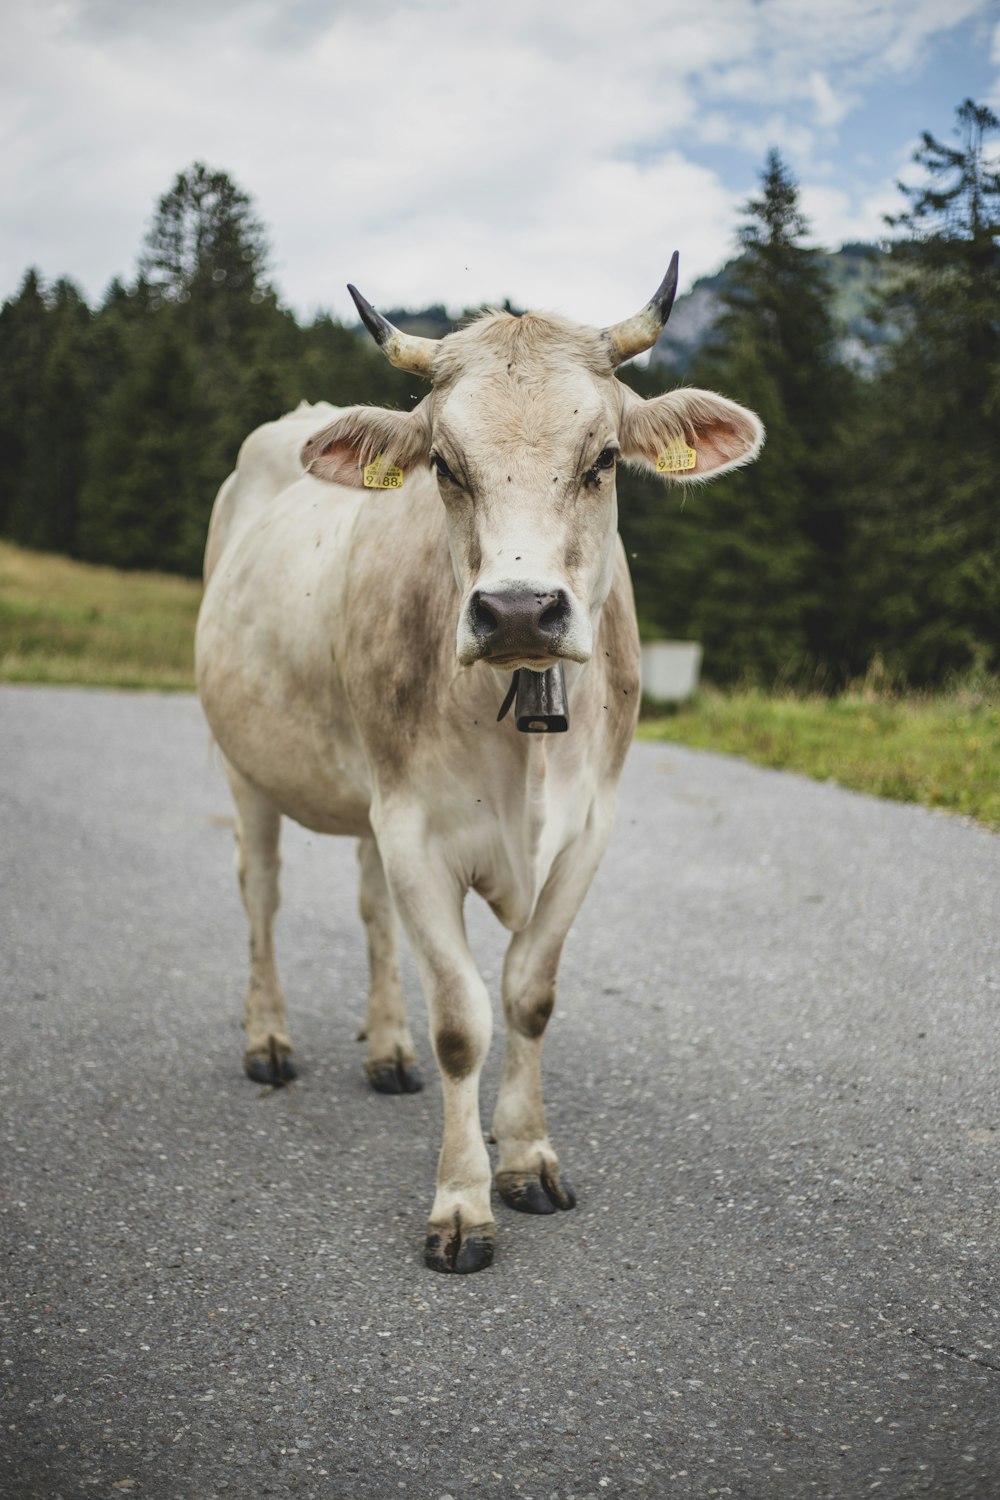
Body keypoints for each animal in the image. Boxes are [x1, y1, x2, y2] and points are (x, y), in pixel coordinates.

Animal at [193, 261, 758, 1278]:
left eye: (603, 458)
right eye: (445, 467)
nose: (521, 609)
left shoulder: (586, 828)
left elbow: (528, 996)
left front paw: (527, 1159)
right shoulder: (416, 827)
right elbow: (463, 1021)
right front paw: (462, 1204)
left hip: (367, 798)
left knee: (372, 909)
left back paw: (386, 1051)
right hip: (247, 766)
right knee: (261, 893)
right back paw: (268, 1040)